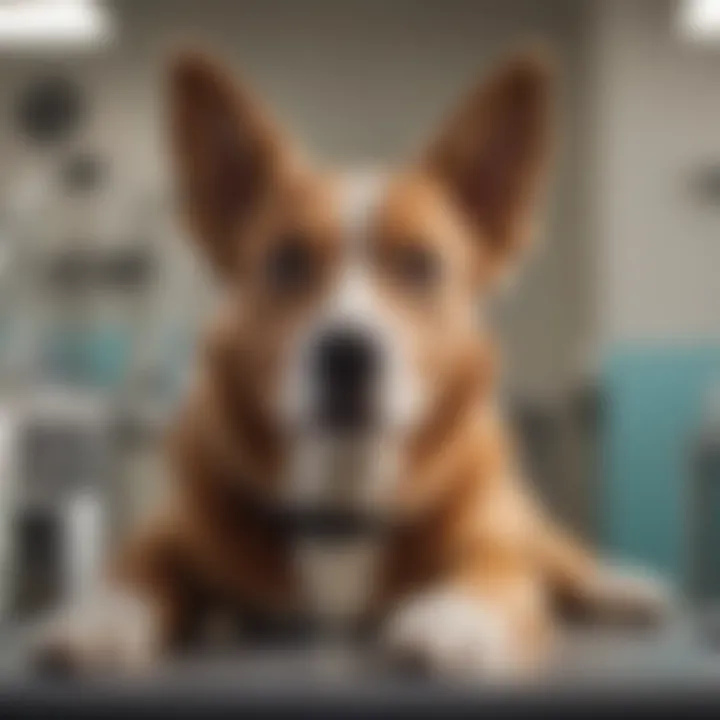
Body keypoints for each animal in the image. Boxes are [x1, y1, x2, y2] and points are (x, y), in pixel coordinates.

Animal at [35, 46, 668, 680]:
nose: (347, 355)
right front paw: (105, 619)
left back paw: (621, 586)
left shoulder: (492, 543)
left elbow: (491, 572)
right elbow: (135, 567)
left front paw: (458, 621)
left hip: (519, 516)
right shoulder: (170, 528)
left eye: (420, 264)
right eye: (286, 261)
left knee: (559, 557)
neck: (342, 499)